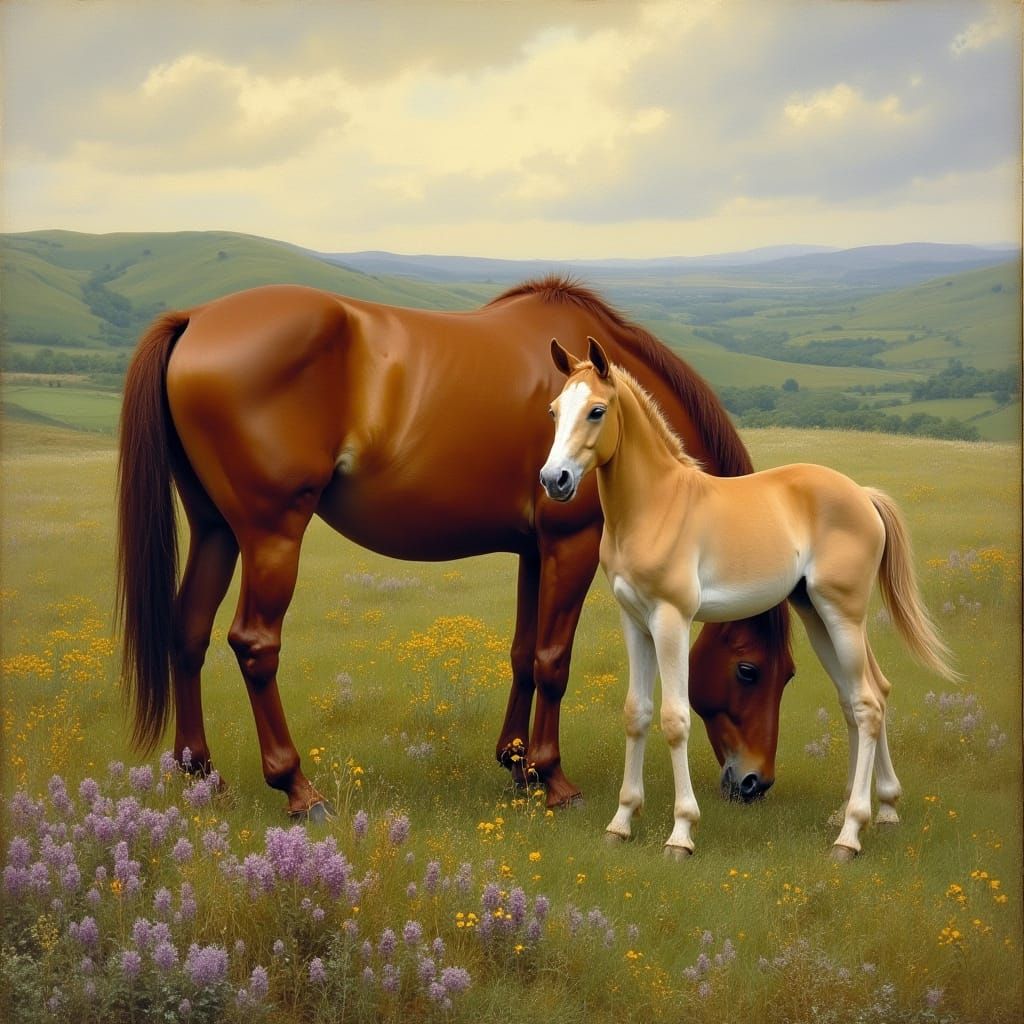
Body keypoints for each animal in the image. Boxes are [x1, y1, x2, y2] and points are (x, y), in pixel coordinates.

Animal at [115, 277, 795, 821]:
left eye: (788, 673)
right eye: (748, 669)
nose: (756, 782)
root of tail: (196, 318)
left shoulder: (533, 552)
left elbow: (524, 654)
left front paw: (517, 765)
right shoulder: (571, 545)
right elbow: (554, 661)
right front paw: (554, 779)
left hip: (216, 529)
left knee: (189, 632)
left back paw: (200, 773)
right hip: (270, 533)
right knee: (255, 646)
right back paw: (297, 789)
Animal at [540, 337, 957, 859]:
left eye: (597, 410)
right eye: (555, 411)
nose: (554, 480)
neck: (656, 505)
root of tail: (862, 495)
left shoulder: (671, 620)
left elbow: (674, 719)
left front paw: (681, 833)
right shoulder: (634, 620)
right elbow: (636, 714)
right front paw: (620, 824)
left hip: (843, 614)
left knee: (867, 704)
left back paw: (850, 834)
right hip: (819, 616)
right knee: (865, 695)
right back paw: (879, 810)